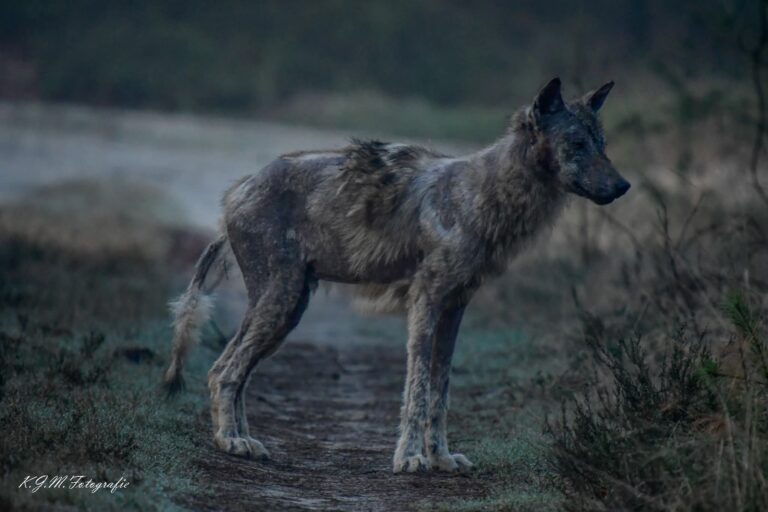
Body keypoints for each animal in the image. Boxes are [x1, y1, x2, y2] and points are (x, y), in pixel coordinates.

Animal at [163, 78, 630, 473]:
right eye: (576, 144)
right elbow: (417, 390)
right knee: (225, 372)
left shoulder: (454, 309)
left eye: (602, 144)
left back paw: (241, 439)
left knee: (232, 371)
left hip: (288, 310)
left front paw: (441, 458)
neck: (486, 195)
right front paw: (410, 459)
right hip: (280, 300)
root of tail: (238, 190)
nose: (623, 186)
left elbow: (440, 392)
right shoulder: (425, 303)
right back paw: (230, 441)